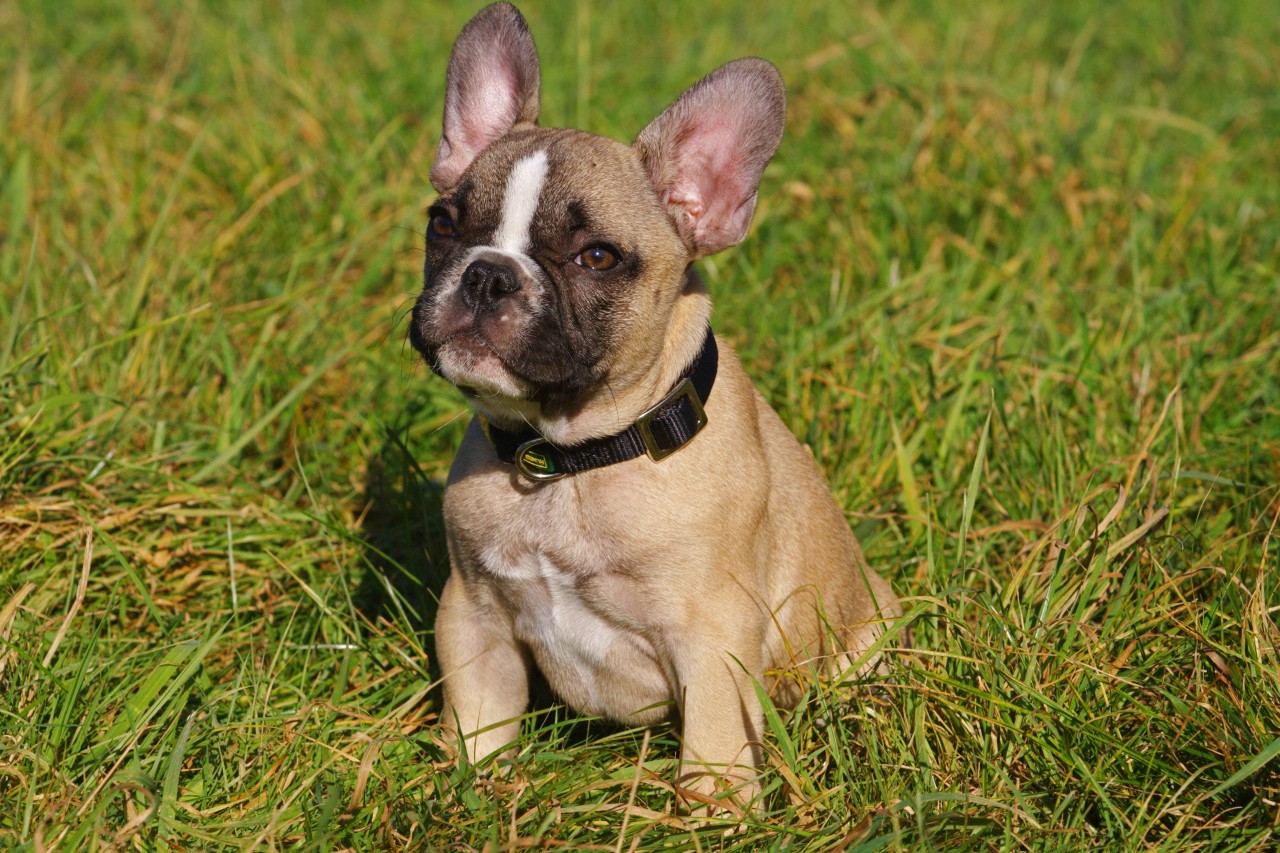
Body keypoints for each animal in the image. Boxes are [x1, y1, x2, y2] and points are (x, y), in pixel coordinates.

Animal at [409, 0, 901, 809]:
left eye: (597, 258)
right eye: (443, 224)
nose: (487, 274)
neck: (568, 460)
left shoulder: (712, 639)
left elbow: (714, 745)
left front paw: (713, 815)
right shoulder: (473, 615)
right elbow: (478, 720)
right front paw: (468, 789)